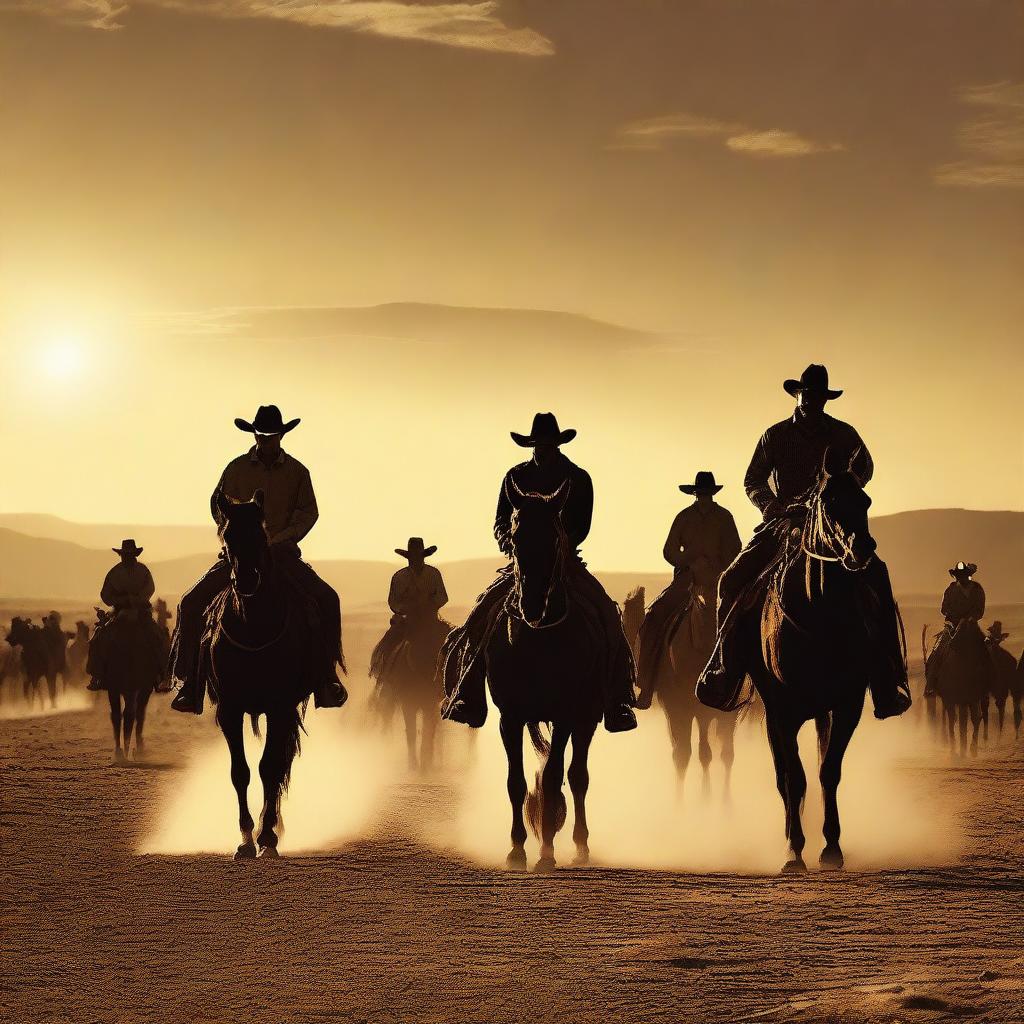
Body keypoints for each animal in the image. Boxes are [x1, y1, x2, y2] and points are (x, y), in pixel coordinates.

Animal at [203, 491, 344, 860]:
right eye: (227, 535)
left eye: (260, 535)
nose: (247, 579)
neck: (254, 628)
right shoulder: (230, 709)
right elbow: (240, 772)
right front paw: (244, 840)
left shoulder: (280, 707)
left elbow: (269, 768)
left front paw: (265, 837)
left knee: (279, 764)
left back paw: (275, 828)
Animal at [483, 479, 610, 872]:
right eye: (514, 535)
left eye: (555, 537)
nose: (532, 605)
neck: (537, 639)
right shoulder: (510, 717)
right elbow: (516, 782)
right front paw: (516, 851)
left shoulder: (565, 714)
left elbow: (554, 778)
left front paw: (547, 853)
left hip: (587, 717)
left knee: (578, 776)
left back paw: (581, 846)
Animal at [737, 452, 905, 876]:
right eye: (829, 502)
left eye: (865, 500)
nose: (862, 547)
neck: (819, 614)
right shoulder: (783, 712)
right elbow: (794, 779)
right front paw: (794, 852)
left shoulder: (846, 705)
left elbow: (829, 771)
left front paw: (831, 849)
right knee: (783, 776)